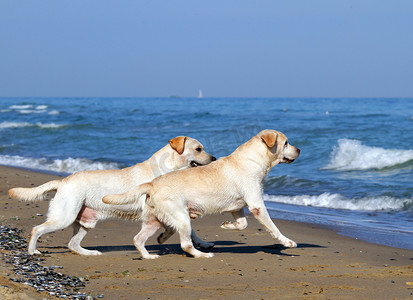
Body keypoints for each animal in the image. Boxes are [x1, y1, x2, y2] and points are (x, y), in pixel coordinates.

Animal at [8, 136, 216, 255]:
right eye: (198, 149)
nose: (214, 158)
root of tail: (63, 180)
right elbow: (179, 227)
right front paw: (164, 237)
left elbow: (190, 230)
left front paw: (203, 243)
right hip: (64, 217)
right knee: (36, 229)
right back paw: (33, 251)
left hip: (85, 222)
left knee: (73, 244)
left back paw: (90, 253)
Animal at [103, 130, 300, 258]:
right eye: (286, 143)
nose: (300, 150)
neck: (252, 160)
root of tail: (152, 183)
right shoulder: (256, 204)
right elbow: (273, 227)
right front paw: (287, 242)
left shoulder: (238, 208)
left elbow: (242, 224)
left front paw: (227, 225)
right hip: (181, 216)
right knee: (185, 244)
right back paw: (202, 255)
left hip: (154, 220)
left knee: (138, 239)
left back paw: (151, 253)